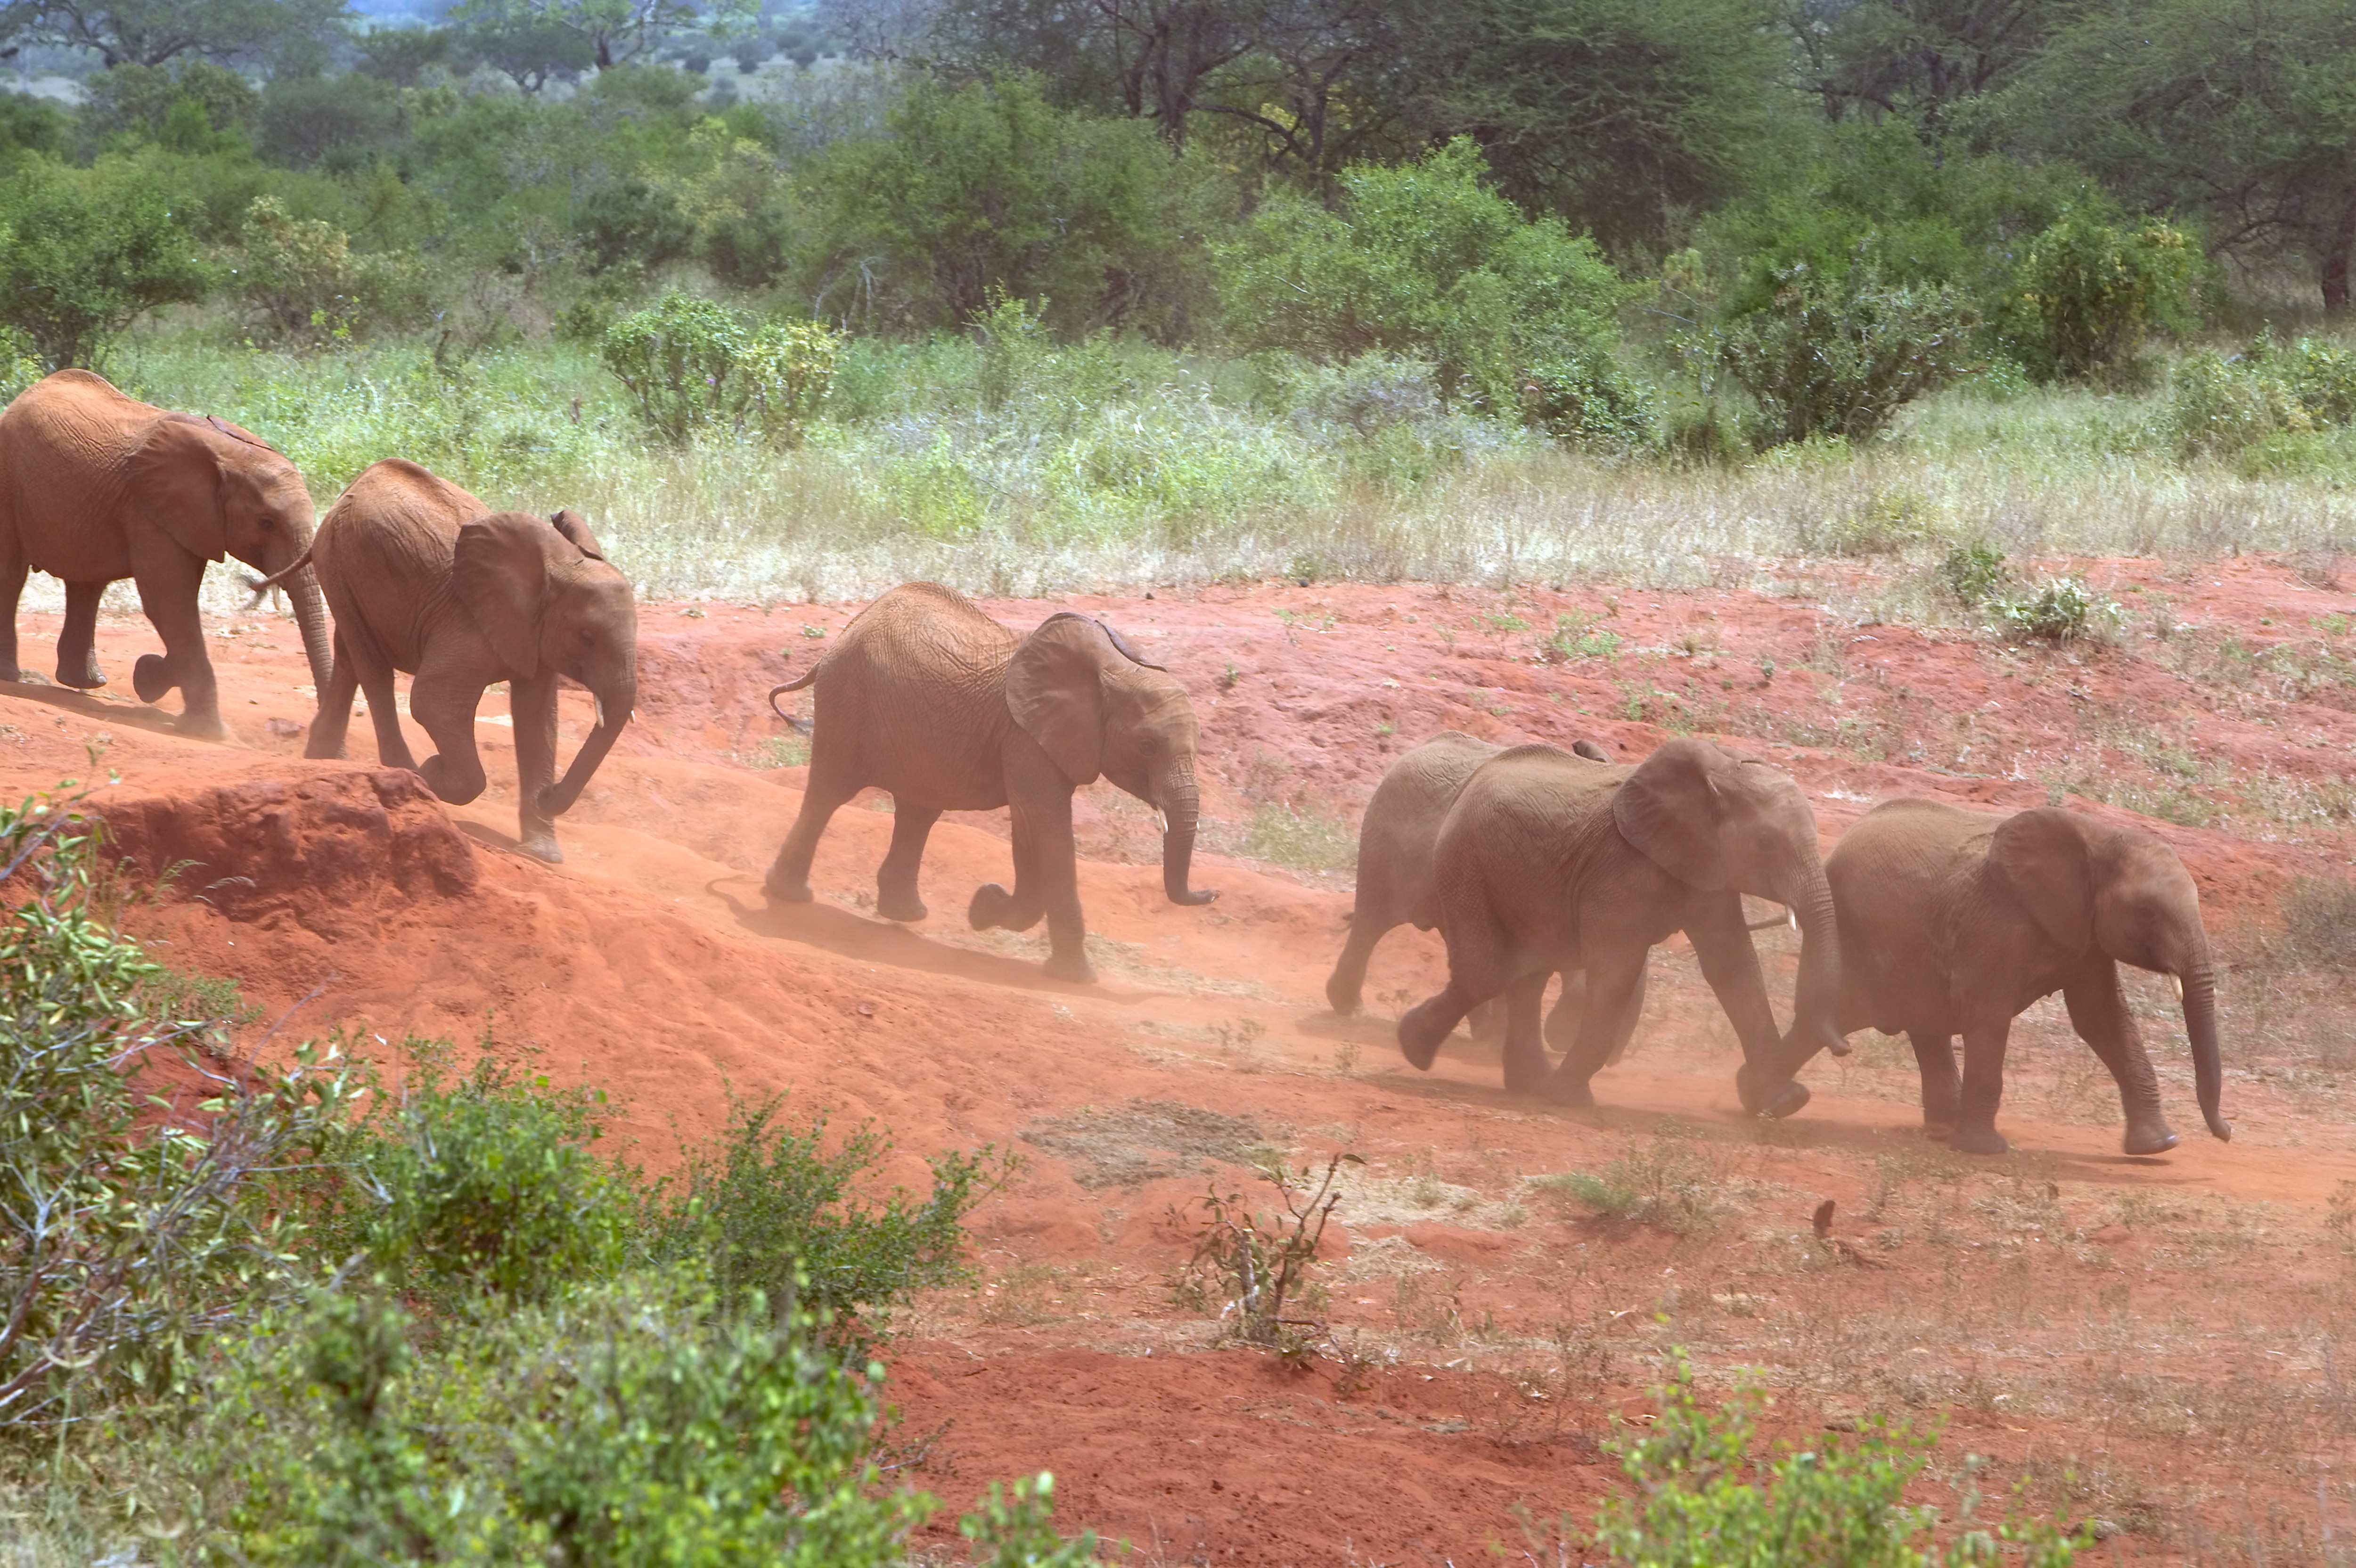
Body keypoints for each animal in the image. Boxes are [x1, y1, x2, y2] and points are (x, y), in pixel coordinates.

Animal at [0, 369, 334, 738]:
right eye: (267, 523)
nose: (251, 584)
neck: (233, 454)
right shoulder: (150, 512)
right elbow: (169, 603)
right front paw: (209, 733)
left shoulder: (189, 521)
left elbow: (177, 605)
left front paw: (149, 678)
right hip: (8, 480)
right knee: (12, 575)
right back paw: (16, 677)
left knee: (87, 584)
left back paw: (87, 683)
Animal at [289, 459, 637, 864]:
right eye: (587, 637)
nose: (549, 794)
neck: (559, 566)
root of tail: (357, 482)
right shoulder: (470, 624)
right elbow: (432, 702)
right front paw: (433, 772)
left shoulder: (532, 635)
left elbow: (537, 720)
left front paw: (542, 855)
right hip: (338, 559)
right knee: (374, 670)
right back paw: (406, 776)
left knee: (350, 658)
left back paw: (320, 764)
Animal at [761, 581, 1215, 983]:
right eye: (1147, 747)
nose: (1211, 895)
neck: (1117, 670)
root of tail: (848, 630)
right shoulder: (1024, 737)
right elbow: (1046, 827)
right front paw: (1075, 977)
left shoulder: (1038, 740)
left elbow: (1030, 832)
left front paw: (983, 910)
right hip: (848, 697)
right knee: (831, 791)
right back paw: (790, 896)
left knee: (918, 811)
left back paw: (905, 914)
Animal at [1396, 738, 1845, 1116]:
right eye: (1766, 844)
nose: (1843, 1048)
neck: (1720, 778)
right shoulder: (1621, 872)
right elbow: (1617, 973)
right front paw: (1569, 1099)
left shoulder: (1707, 868)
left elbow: (1735, 969)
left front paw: (1787, 1103)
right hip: (1465, 858)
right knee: (1488, 971)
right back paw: (1413, 1047)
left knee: (1527, 978)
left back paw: (1526, 1083)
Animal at [1803, 797, 2230, 1156]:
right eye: (2146, 911)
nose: (2225, 1132)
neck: (2099, 838)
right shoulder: (1995, 924)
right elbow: (1988, 1015)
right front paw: (1983, 1150)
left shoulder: (2087, 935)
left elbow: (2101, 1018)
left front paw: (2158, 1147)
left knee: (1924, 1026)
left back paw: (1940, 1129)